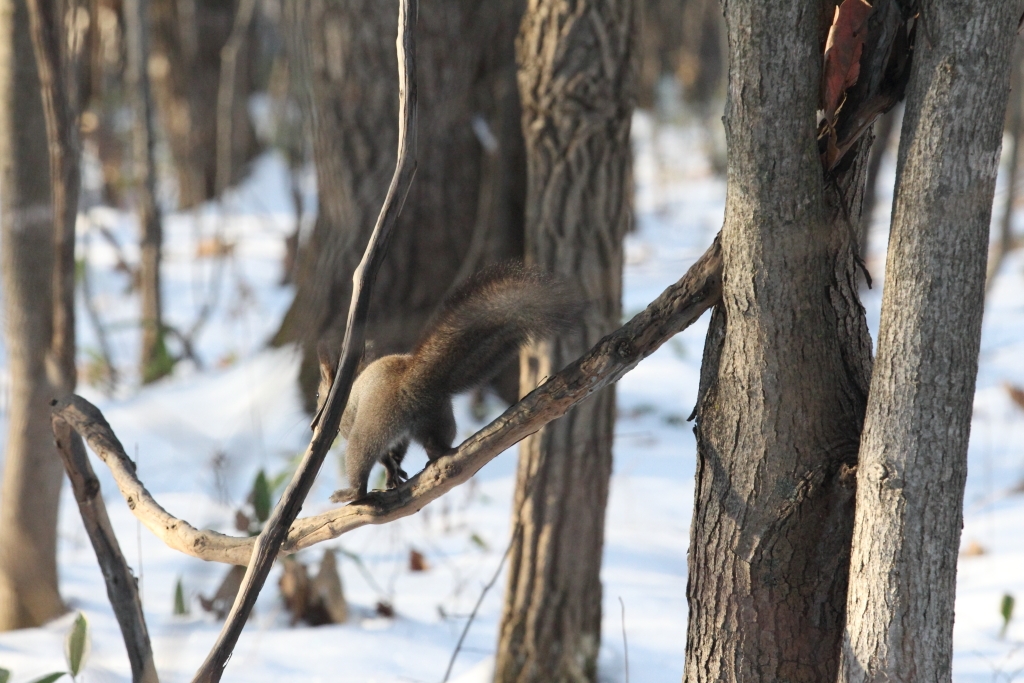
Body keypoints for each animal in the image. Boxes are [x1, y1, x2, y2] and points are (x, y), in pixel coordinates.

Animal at [317, 263, 577, 504]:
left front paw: (391, 472)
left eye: (319, 395)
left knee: (361, 458)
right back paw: (435, 455)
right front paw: (393, 474)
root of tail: (412, 382)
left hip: (374, 424)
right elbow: (394, 455)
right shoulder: (402, 436)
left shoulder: (349, 424)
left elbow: (385, 456)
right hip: (437, 417)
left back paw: (351, 492)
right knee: (438, 444)